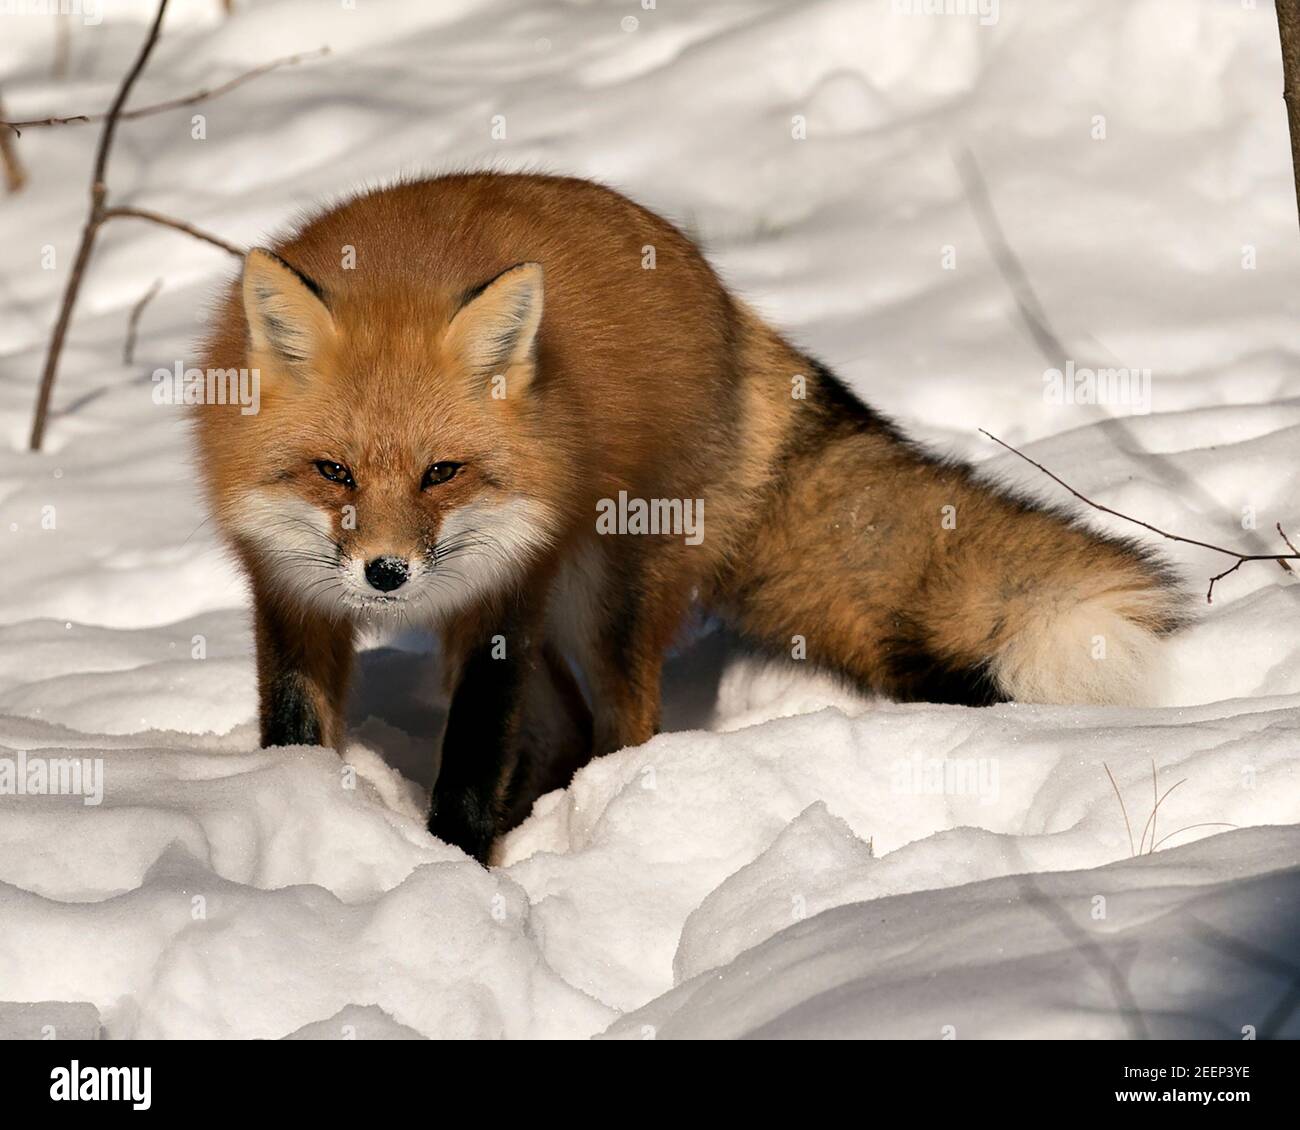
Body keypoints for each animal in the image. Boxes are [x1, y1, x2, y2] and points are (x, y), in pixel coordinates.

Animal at [195, 170, 1190, 853]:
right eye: (334, 472)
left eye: (443, 472)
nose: (387, 574)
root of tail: (720, 293)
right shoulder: (288, 590)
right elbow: (295, 728)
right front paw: (306, 814)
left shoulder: (502, 599)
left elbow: (474, 757)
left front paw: (456, 867)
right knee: (564, 726)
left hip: (607, 591)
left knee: (621, 724)